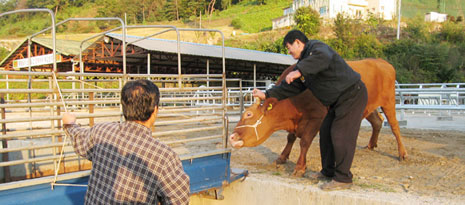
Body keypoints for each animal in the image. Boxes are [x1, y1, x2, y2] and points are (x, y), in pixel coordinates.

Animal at [228, 58, 406, 177]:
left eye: (248, 114)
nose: (231, 137)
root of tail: (382, 61)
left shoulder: (316, 117)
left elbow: (304, 142)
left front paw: (300, 167)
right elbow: (290, 138)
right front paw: (282, 157)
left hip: (389, 101)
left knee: (394, 126)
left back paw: (402, 154)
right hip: (369, 107)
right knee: (377, 121)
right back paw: (370, 145)